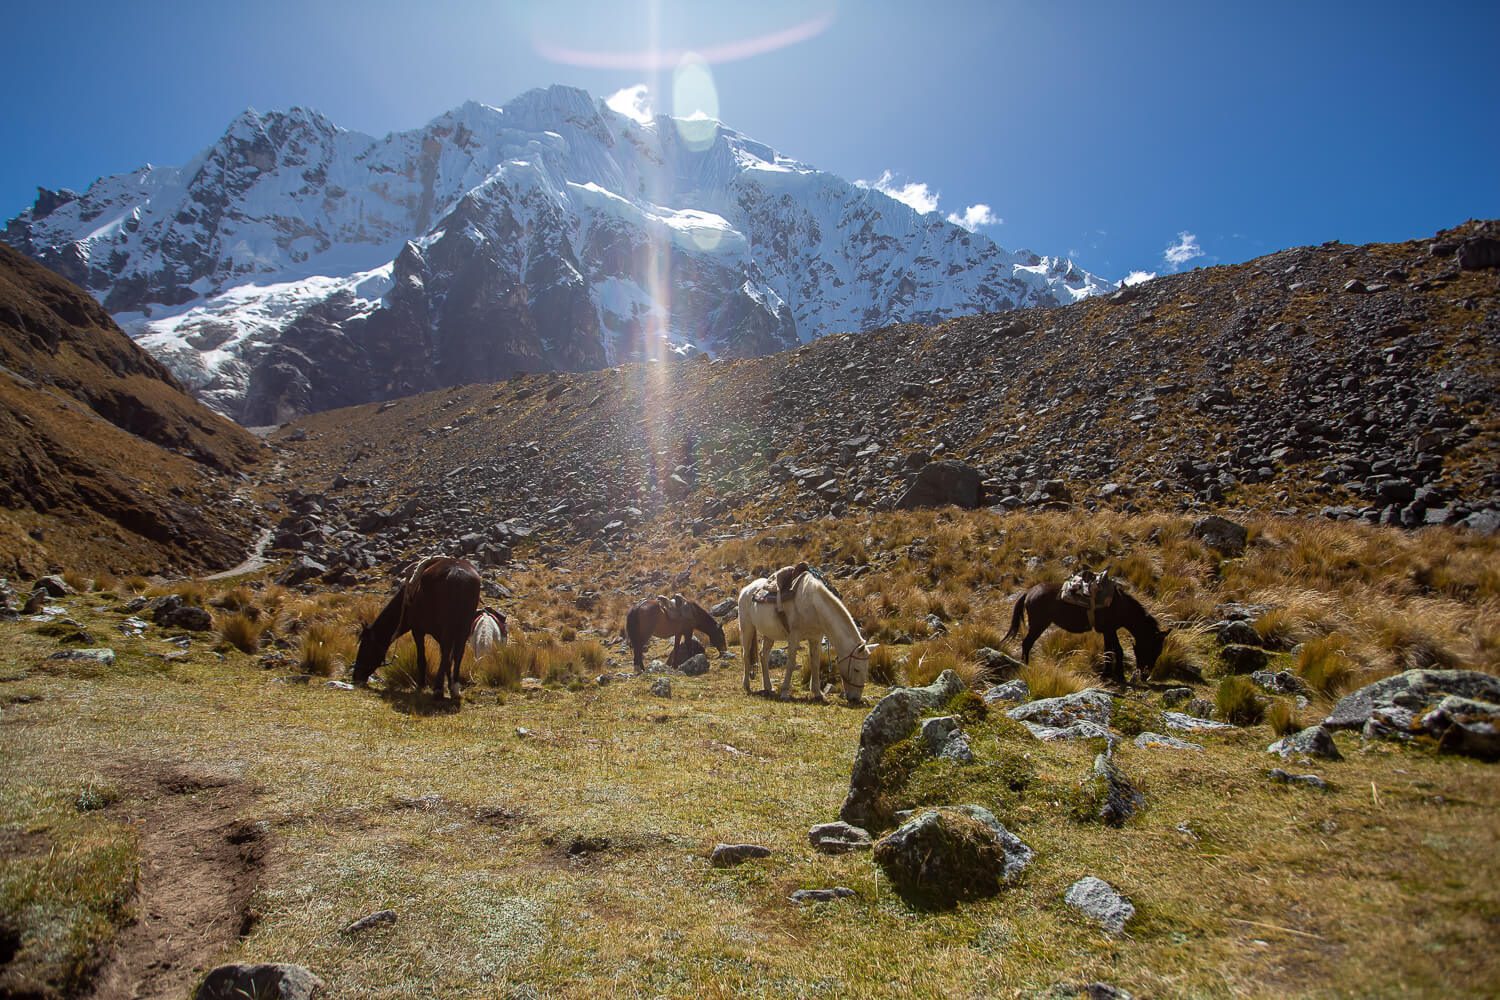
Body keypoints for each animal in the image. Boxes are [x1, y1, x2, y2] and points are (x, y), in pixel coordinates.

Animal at [352, 554, 480, 704]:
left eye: (365, 646)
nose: (356, 676)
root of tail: (457, 573)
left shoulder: (418, 630)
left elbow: (423, 658)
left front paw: (421, 685)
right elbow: (448, 659)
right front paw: (450, 685)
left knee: (449, 651)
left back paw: (438, 690)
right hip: (463, 628)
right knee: (458, 652)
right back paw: (454, 688)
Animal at [735, 569, 876, 704]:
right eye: (857, 669)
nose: (855, 699)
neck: (814, 607)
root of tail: (746, 590)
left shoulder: (815, 638)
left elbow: (815, 663)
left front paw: (818, 693)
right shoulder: (794, 637)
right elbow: (791, 663)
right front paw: (785, 693)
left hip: (769, 634)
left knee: (763, 656)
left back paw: (768, 687)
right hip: (747, 628)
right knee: (746, 655)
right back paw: (746, 686)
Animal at [1008, 581, 1170, 683]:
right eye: (1153, 650)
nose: (1145, 676)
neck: (1121, 607)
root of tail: (1029, 592)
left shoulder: (1107, 631)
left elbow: (1109, 650)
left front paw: (1107, 675)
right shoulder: (1110, 630)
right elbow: (1118, 650)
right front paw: (1119, 676)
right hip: (1039, 624)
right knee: (1027, 643)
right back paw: (1026, 666)